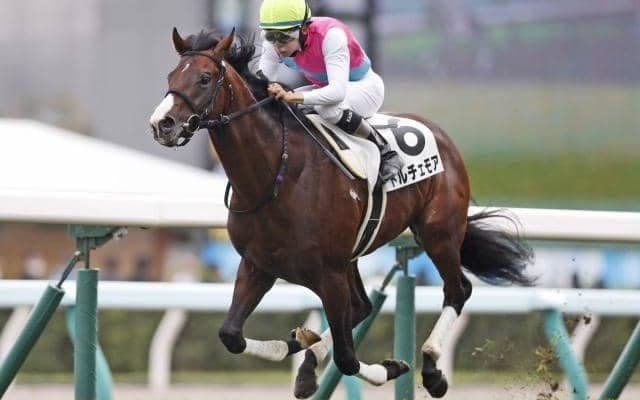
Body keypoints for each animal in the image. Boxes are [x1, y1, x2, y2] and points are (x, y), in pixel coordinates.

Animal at [149, 28, 533, 398]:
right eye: (171, 75)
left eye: (204, 78)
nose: (162, 123)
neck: (276, 174)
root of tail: (438, 132)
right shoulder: (258, 265)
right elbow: (231, 334)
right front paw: (295, 346)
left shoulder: (329, 271)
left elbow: (348, 358)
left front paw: (393, 366)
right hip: (354, 255)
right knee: (362, 306)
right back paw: (308, 361)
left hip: (438, 232)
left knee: (457, 291)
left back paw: (432, 369)